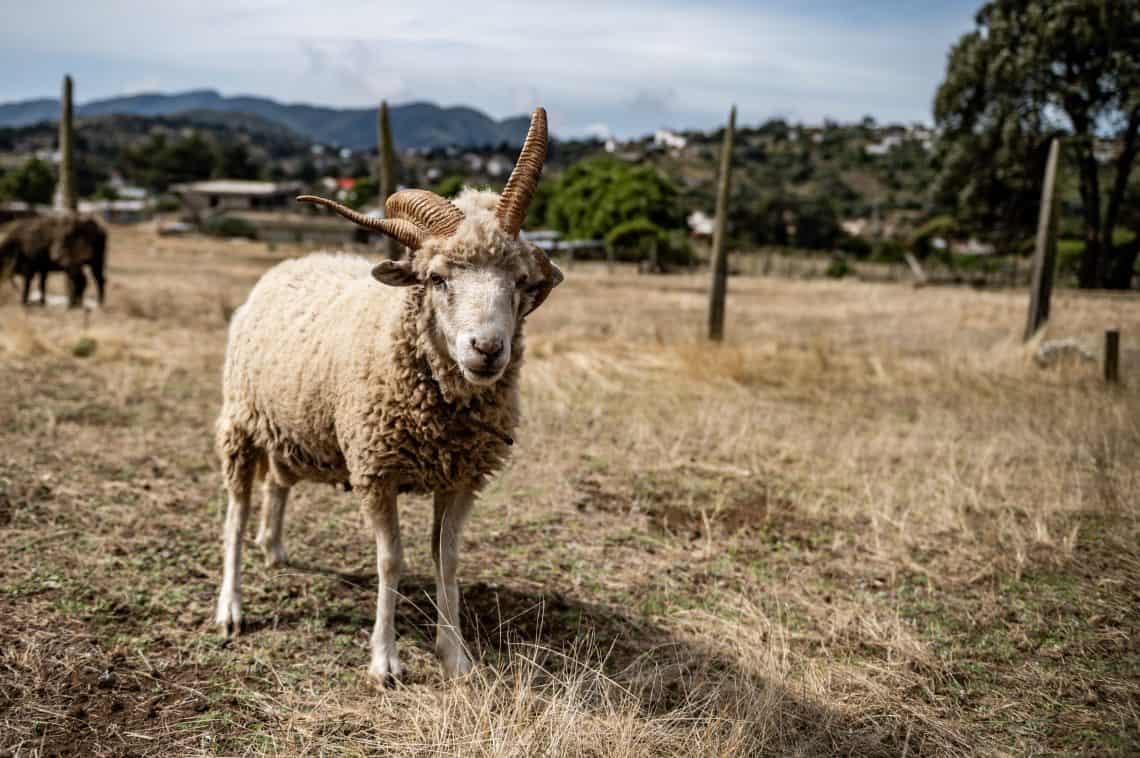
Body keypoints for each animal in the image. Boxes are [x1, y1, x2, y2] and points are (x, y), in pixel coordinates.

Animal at [214, 108, 563, 681]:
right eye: (437, 278)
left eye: (519, 280)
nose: (488, 349)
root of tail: (292, 263)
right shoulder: (375, 469)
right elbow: (391, 560)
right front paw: (385, 660)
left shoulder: (462, 477)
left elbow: (447, 560)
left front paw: (455, 655)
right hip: (240, 423)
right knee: (236, 513)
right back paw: (230, 607)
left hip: (291, 427)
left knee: (278, 482)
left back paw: (275, 547)